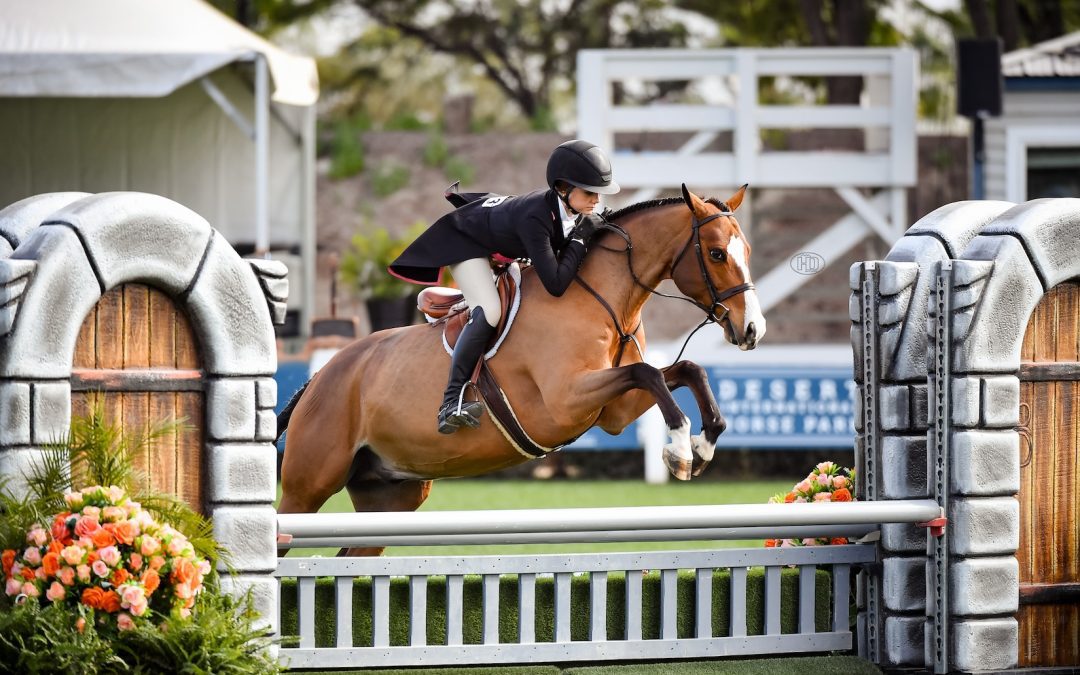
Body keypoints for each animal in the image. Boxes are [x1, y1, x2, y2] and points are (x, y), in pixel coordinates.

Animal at [277, 184, 765, 556]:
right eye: (717, 254)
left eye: (747, 251)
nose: (752, 330)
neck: (603, 297)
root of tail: (319, 378)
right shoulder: (566, 401)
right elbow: (650, 373)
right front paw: (680, 449)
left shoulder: (613, 412)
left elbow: (684, 370)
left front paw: (704, 443)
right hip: (307, 488)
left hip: (391, 496)